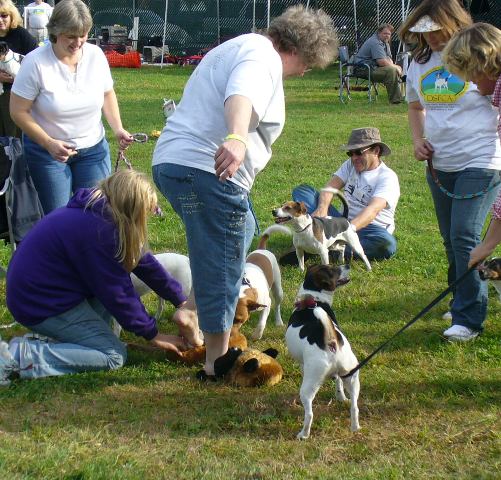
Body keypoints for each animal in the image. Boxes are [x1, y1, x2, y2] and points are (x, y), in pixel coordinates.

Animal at [286, 264, 360, 440]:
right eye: (334, 269)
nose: (348, 264)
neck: (314, 299)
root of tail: (331, 341)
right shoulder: (340, 376)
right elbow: (338, 383)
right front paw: (341, 398)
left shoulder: (303, 365)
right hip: (352, 376)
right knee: (355, 407)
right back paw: (355, 427)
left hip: (309, 384)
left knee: (309, 414)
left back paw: (303, 434)